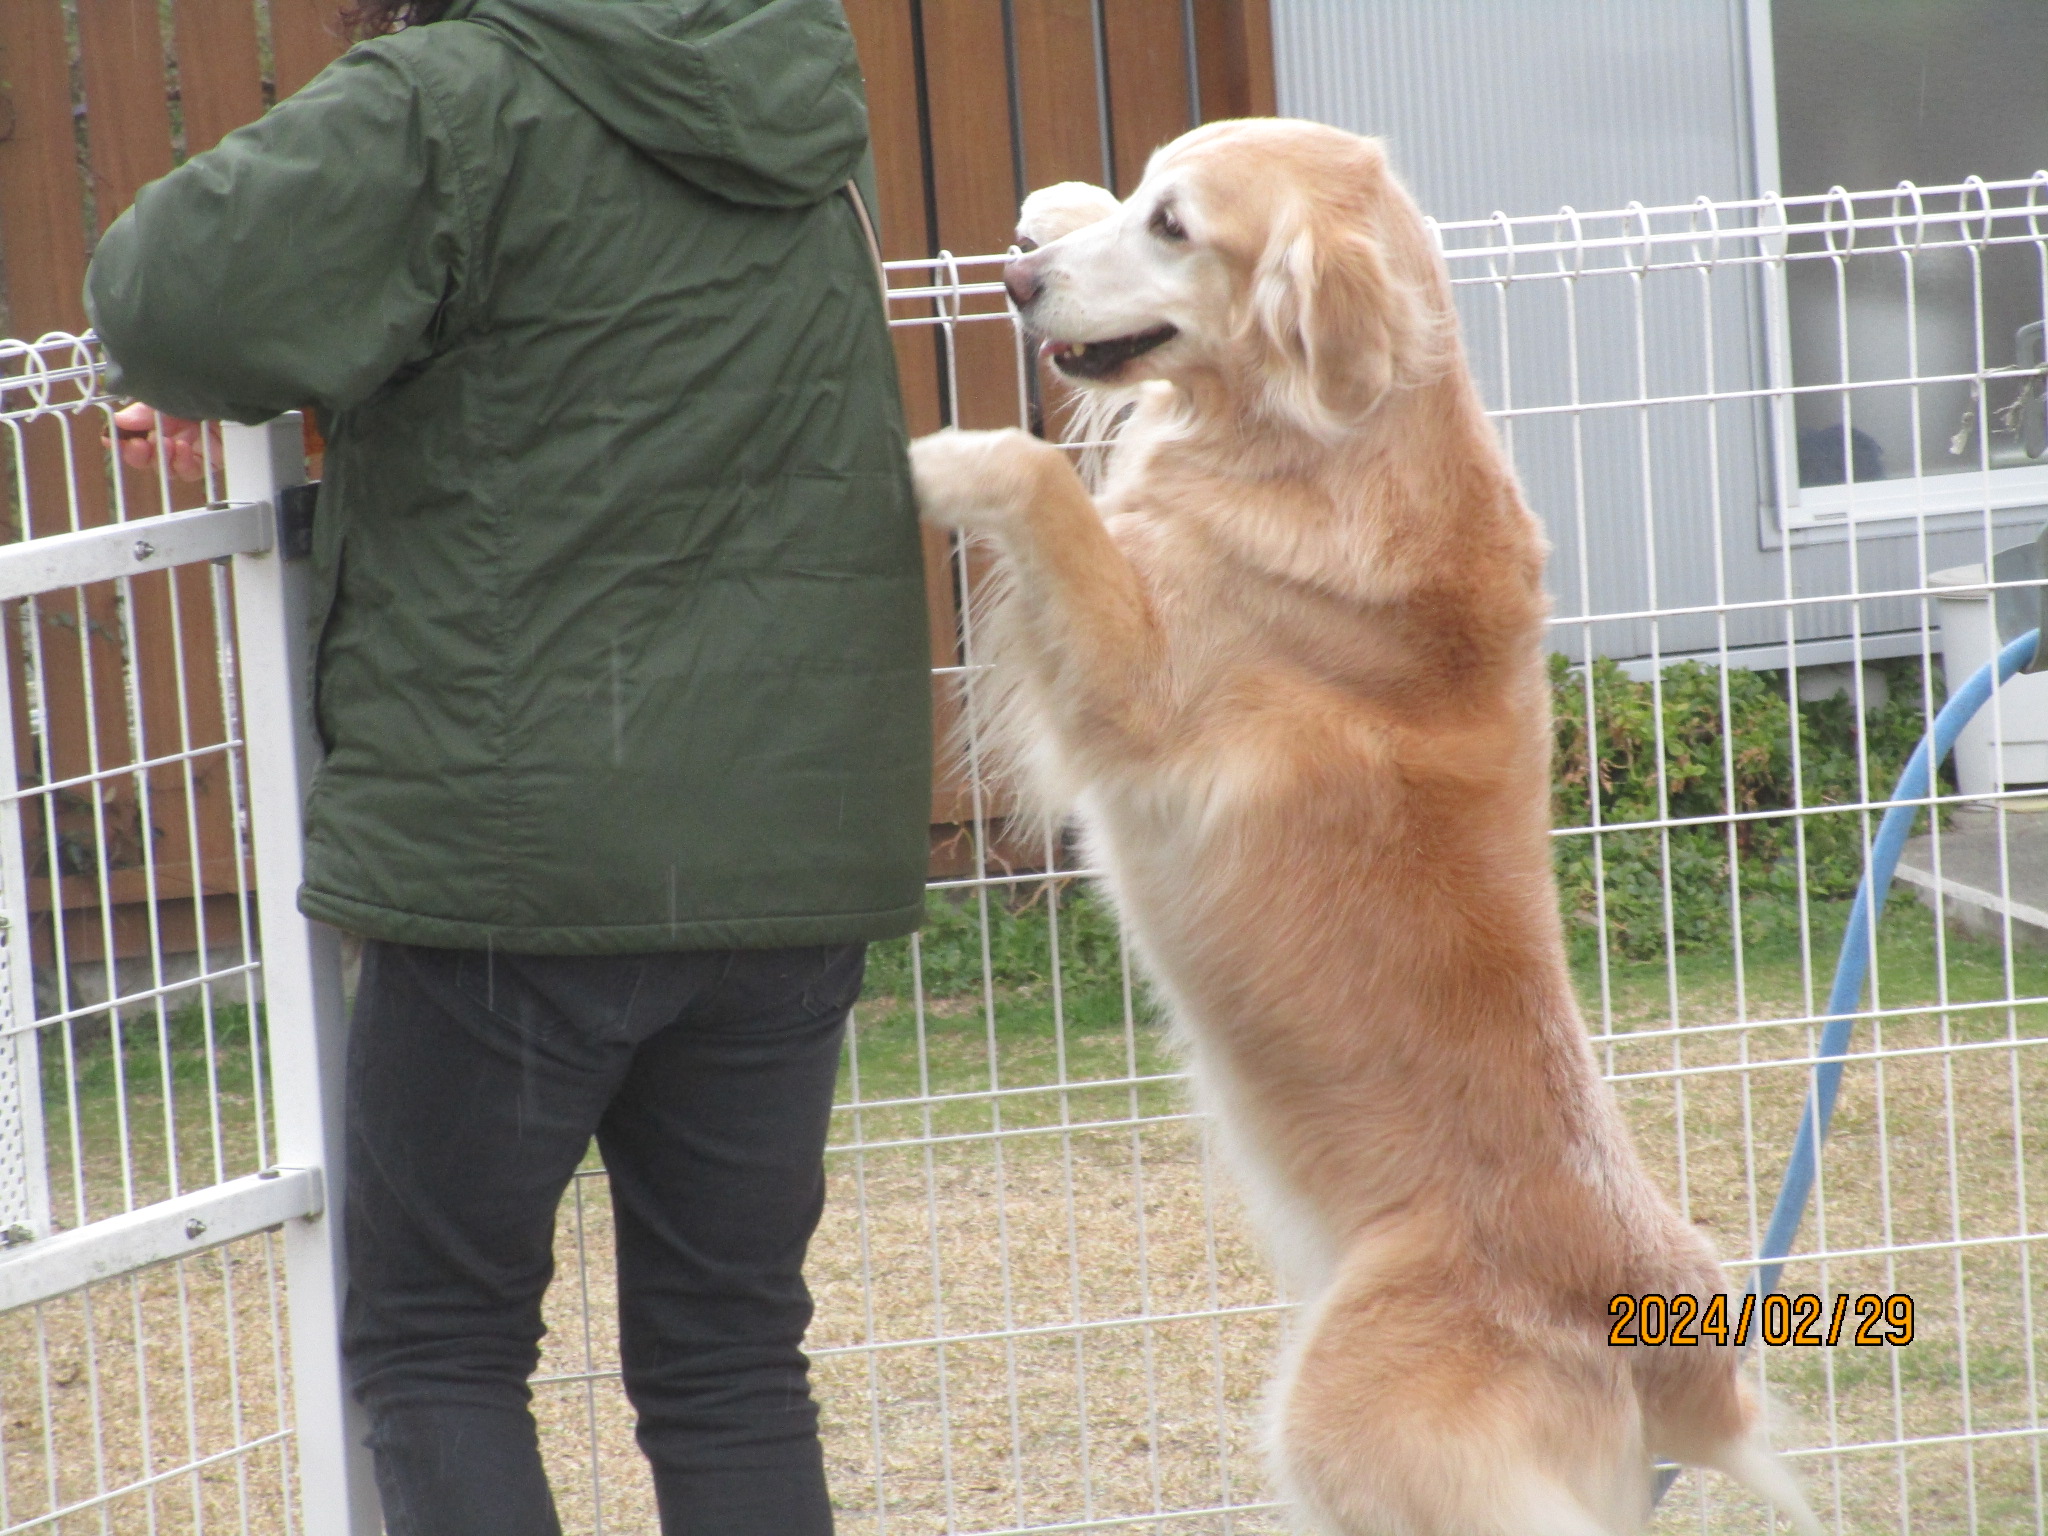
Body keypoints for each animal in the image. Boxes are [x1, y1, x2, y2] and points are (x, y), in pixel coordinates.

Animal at [913, 117, 1826, 1536]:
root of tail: (1673, 1347)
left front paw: (952, 457)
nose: (1017, 286)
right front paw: (1051, 202)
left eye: (1175, 228)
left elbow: (1046, 490)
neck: (1337, 437)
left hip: (1348, 1417)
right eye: (1143, 193)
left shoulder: (1135, 684)